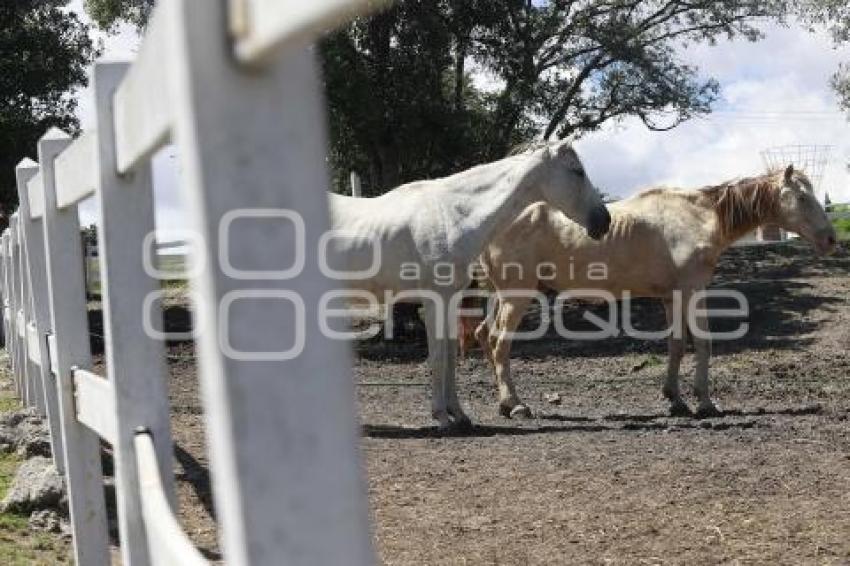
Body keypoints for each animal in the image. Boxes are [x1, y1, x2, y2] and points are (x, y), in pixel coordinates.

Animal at [324, 142, 608, 430]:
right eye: (577, 171)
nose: (604, 221)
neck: (453, 216)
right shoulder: (435, 301)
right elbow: (438, 358)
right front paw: (441, 417)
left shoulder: (451, 300)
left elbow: (450, 358)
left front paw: (458, 414)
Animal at [476, 166, 836, 420]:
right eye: (802, 198)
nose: (831, 239)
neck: (699, 216)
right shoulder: (692, 291)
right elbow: (702, 343)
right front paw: (706, 402)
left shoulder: (671, 297)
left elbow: (676, 344)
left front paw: (675, 399)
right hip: (517, 296)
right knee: (500, 343)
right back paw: (515, 404)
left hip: (500, 295)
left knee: (484, 336)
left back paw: (503, 404)